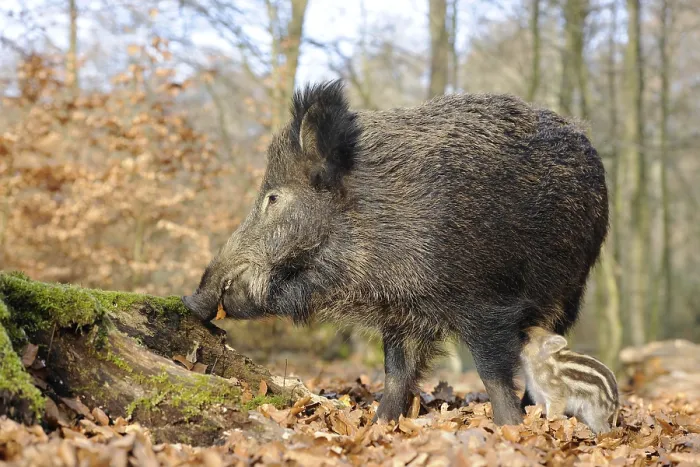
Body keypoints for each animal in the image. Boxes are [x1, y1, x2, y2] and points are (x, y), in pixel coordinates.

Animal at [182, 80, 609, 427]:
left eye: (273, 198)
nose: (191, 299)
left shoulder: (485, 302)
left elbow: (493, 373)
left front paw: (512, 429)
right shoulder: (401, 312)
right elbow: (396, 374)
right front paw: (379, 426)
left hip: (570, 286)